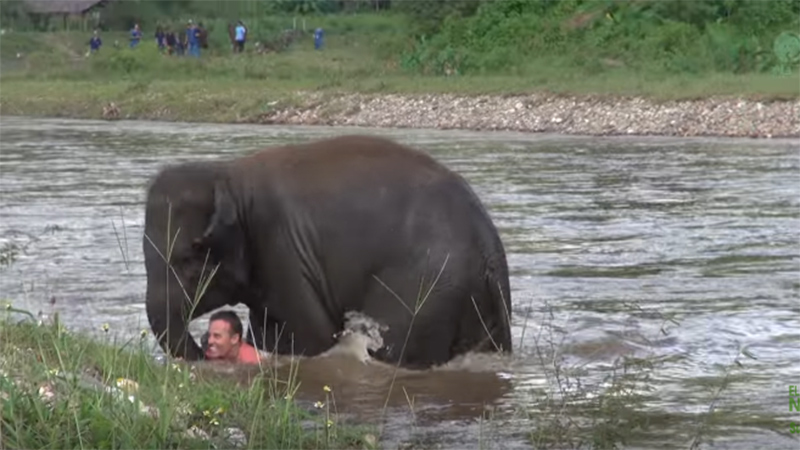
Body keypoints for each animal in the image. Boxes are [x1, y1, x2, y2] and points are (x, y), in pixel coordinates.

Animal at [142, 134, 513, 369]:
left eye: (190, 257)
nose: (206, 347)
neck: (227, 173)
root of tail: (489, 246)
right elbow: (269, 333)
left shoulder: (285, 250)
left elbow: (308, 335)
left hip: (425, 287)